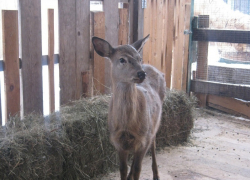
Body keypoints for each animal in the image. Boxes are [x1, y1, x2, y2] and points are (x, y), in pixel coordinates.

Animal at [92, 34, 166, 180]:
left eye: (139, 58)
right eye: (122, 59)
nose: (141, 74)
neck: (127, 124)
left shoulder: (143, 139)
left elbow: (138, 169)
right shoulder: (117, 141)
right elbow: (122, 168)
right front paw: (126, 175)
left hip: (153, 125)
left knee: (153, 144)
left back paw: (156, 175)